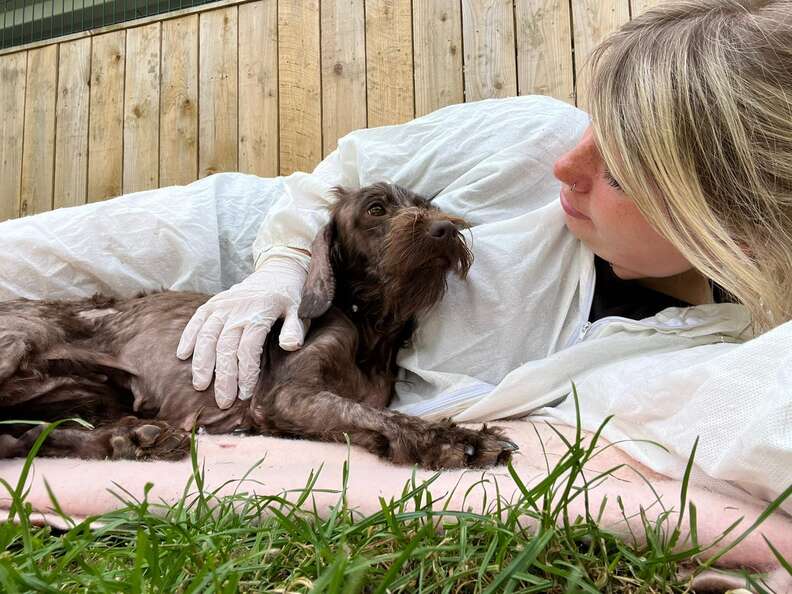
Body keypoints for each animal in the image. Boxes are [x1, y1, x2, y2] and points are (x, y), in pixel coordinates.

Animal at [0, 184, 512, 468]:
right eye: (376, 209)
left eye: (425, 204)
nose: (445, 229)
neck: (370, 329)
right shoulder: (285, 395)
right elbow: (376, 415)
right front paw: (454, 439)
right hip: (17, 347)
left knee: (22, 437)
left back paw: (127, 439)